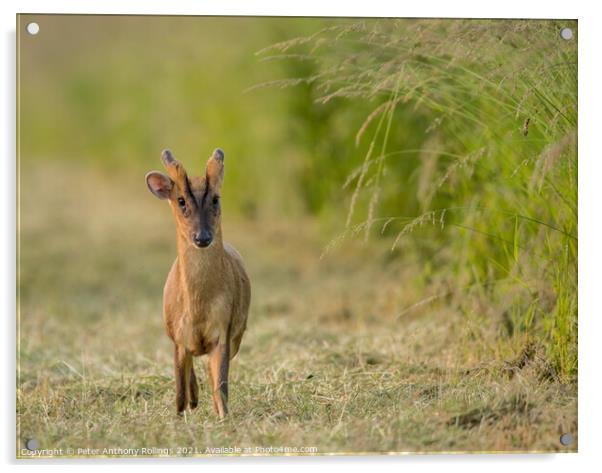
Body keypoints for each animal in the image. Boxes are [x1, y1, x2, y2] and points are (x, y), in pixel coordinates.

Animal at [144, 147, 250, 416]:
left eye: (216, 199)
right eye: (181, 200)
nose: (202, 237)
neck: (198, 307)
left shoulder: (224, 328)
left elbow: (221, 385)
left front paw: (223, 416)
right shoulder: (177, 335)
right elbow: (179, 390)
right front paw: (181, 413)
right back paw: (194, 400)